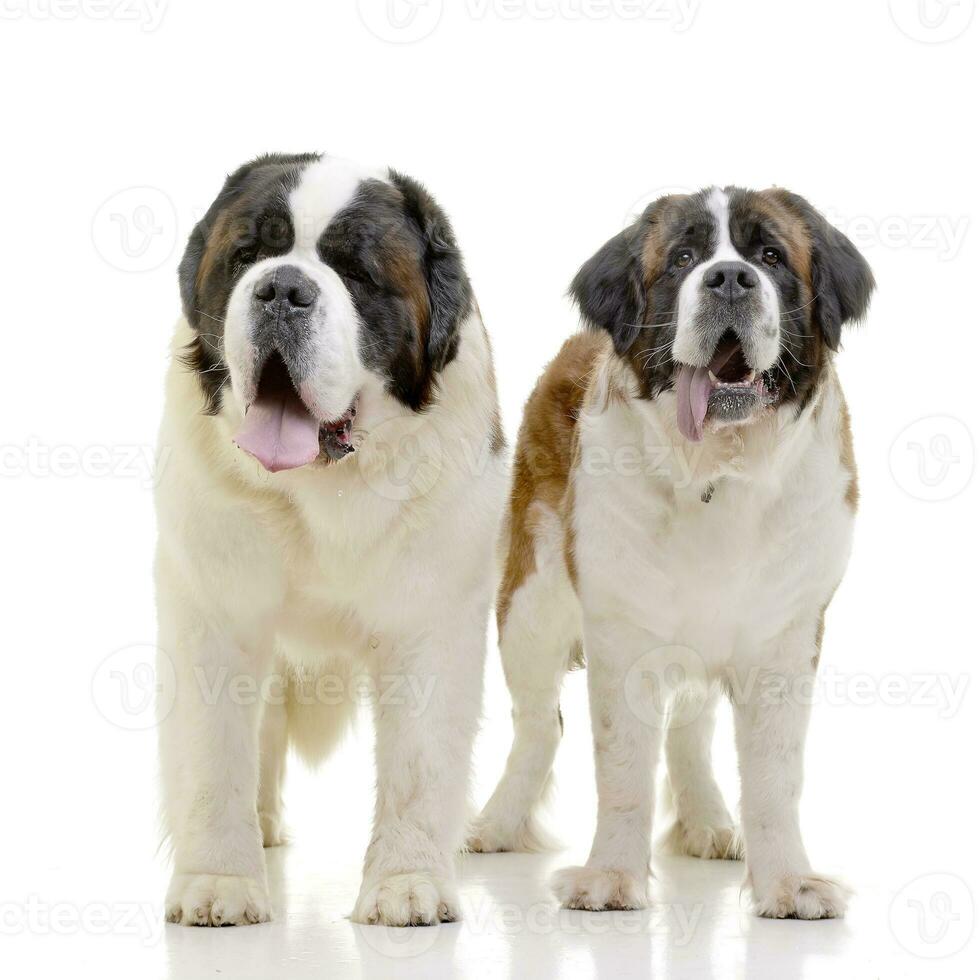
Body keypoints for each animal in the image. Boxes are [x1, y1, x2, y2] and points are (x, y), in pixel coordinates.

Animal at [155, 153, 506, 928]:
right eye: (247, 256)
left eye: (358, 273)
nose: (284, 289)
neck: (322, 488)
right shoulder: (214, 612)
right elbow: (214, 754)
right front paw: (219, 880)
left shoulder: (429, 617)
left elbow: (418, 760)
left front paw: (407, 884)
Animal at [470, 188, 876, 924]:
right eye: (684, 258)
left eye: (770, 255)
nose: (730, 278)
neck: (718, 472)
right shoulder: (621, 634)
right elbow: (623, 767)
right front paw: (609, 877)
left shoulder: (785, 639)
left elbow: (776, 777)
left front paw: (789, 883)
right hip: (529, 605)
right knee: (539, 724)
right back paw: (497, 823)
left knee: (690, 728)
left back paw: (709, 821)